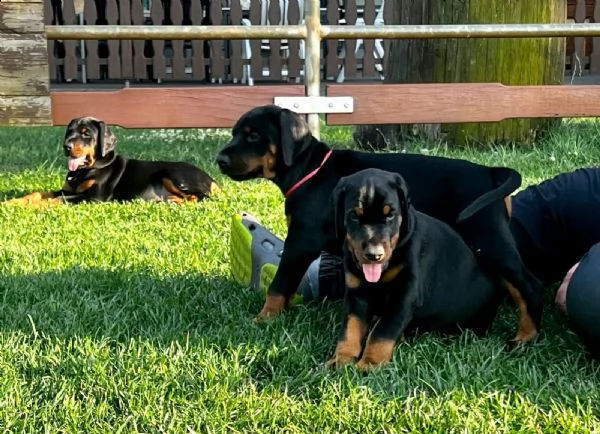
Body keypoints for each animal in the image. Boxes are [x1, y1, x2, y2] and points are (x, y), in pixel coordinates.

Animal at [3, 116, 219, 206]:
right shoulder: (68, 189)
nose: (67, 146)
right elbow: (39, 193)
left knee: (203, 197)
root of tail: (211, 179)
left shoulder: (95, 197)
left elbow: (56, 200)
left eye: (86, 134)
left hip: (172, 174)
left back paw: (176, 201)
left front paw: (35, 207)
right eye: (69, 132)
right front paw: (12, 202)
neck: (84, 171)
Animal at [217, 105, 544, 346]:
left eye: (253, 136)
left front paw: (263, 318)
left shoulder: (300, 241)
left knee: (529, 283)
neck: (311, 169)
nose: (220, 159)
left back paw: (525, 336)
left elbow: (280, 284)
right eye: (235, 133)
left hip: (487, 238)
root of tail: (490, 172)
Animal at [326, 169, 504, 370]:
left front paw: (369, 364)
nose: (374, 255)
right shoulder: (357, 294)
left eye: (390, 215)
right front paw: (341, 360)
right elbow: (350, 329)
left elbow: (382, 331)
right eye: (354, 216)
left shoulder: (404, 296)